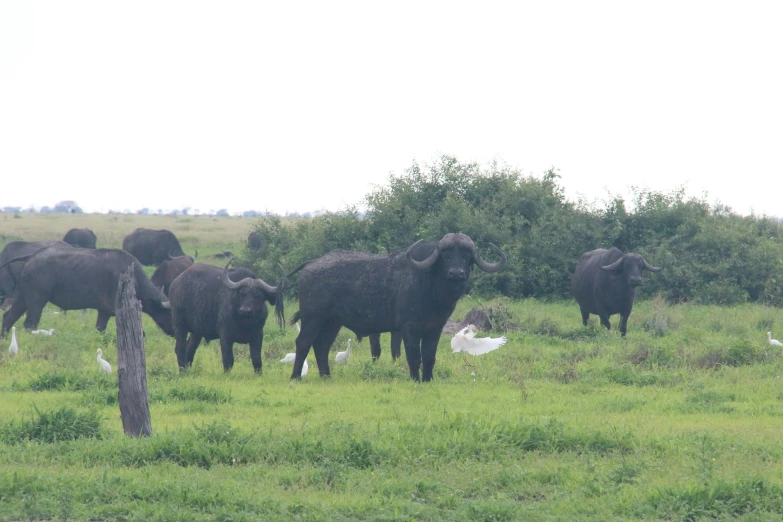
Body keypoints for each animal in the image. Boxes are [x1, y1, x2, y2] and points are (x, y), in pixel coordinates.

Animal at [1, 246, 173, 336]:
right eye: (170, 313)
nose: (175, 332)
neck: (135, 278)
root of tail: (32, 256)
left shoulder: (104, 312)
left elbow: (100, 329)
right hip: (37, 302)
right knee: (30, 323)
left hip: (21, 298)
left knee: (8, 317)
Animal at [288, 234, 508, 380]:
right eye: (445, 256)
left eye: (466, 256)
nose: (456, 273)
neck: (432, 289)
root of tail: (312, 263)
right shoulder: (409, 328)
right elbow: (414, 356)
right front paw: (415, 379)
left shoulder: (434, 329)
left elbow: (429, 357)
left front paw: (427, 379)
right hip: (313, 318)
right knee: (303, 342)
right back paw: (296, 376)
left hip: (333, 322)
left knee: (322, 346)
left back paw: (326, 376)